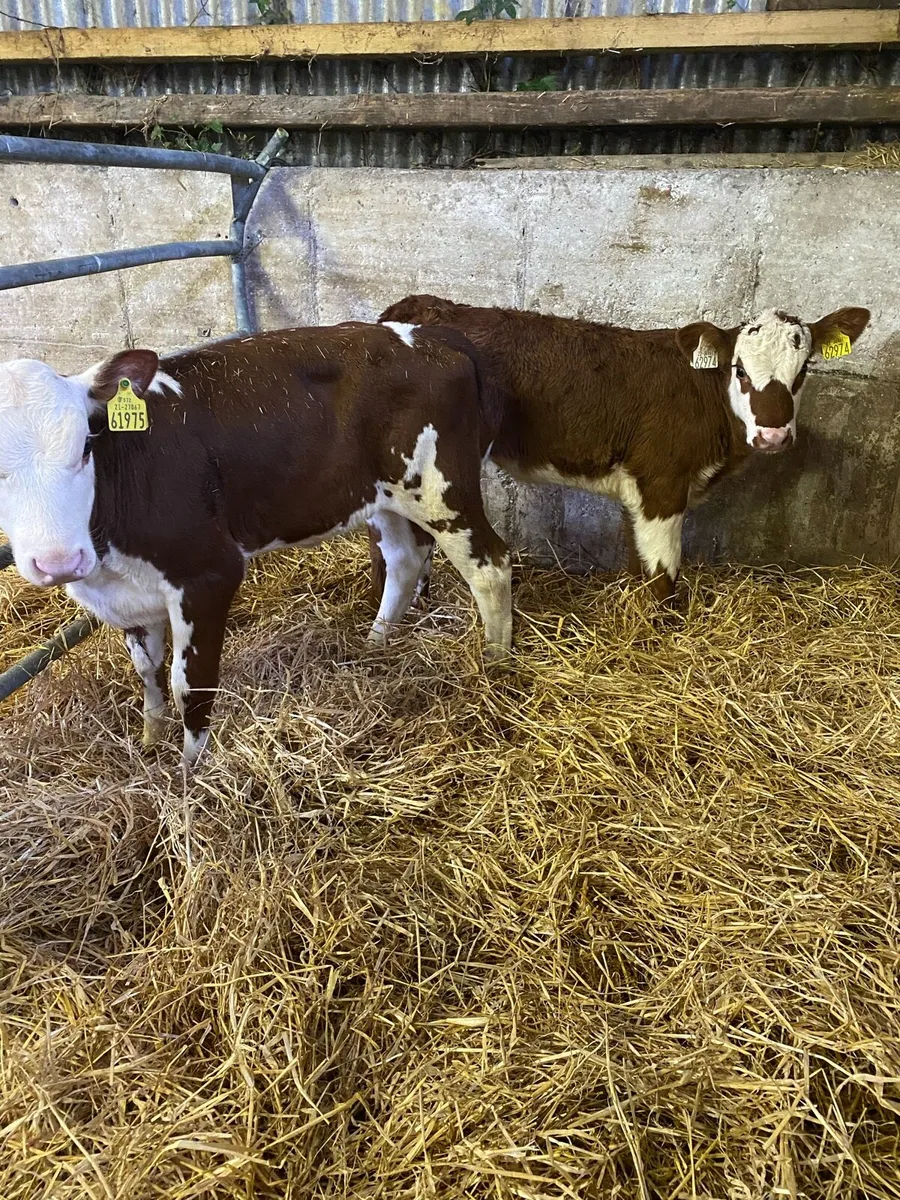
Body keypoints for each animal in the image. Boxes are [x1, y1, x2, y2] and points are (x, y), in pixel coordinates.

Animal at [0, 323, 512, 766]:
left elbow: (191, 684)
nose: (59, 562)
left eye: (86, 445)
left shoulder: (208, 574)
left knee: (491, 565)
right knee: (404, 562)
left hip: (441, 490)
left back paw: (496, 663)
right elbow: (147, 670)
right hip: (384, 496)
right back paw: (376, 642)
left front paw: (190, 773)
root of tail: (431, 336)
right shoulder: (128, 596)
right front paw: (150, 738)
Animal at [369, 297, 870, 606]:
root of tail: (421, 306)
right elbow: (662, 575)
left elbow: (638, 560)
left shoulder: (640, 491)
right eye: (740, 370)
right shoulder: (663, 485)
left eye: (803, 371)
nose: (773, 434)